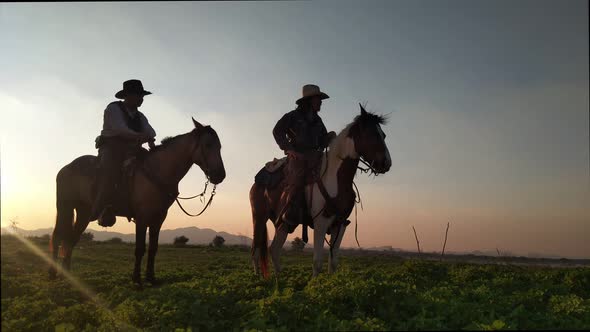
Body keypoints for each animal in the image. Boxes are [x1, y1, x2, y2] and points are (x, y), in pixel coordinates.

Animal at [50, 118, 227, 284]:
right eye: (208, 144)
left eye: (220, 146)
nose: (220, 175)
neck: (157, 171)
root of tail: (66, 168)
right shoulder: (142, 217)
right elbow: (140, 248)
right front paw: (136, 279)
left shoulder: (159, 218)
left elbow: (153, 248)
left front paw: (151, 278)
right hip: (65, 207)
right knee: (58, 236)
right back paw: (53, 273)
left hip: (83, 212)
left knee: (71, 238)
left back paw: (67, 274)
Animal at [251, 104, 394, 278]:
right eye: (370, 134)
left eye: (383, 135)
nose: (386, 163)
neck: (335, 179)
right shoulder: (321, 223)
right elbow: (317, 262)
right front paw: (314, 283)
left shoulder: (340, 224)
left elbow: (333, 263)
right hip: (259, 218)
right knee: (256, 249)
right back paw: (259, 277)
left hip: (283, 223)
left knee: (274, 249)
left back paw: (280, 278)